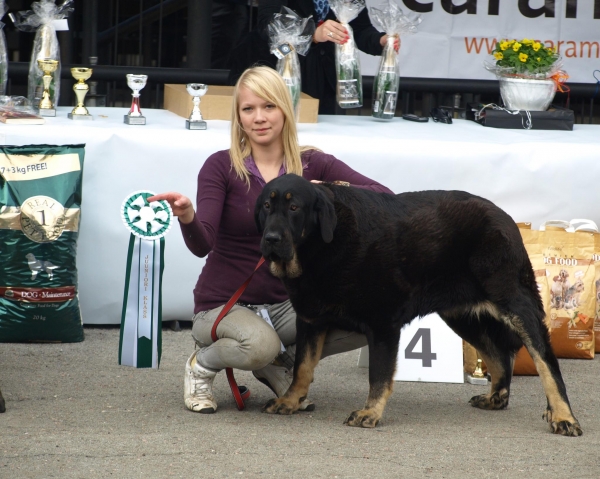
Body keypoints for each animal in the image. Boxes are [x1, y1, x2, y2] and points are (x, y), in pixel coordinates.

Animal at [254, 174, 580, 436]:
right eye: (267, 206)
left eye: (294, 208)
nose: (270, 238)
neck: (324, 246)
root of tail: (507, 218)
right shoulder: (311, 320)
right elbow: (303, 366)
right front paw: (291, 400)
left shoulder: (382, 324)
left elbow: (379, 375)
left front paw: (370, 412)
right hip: (462, 315)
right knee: (499, 354)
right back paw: (496, 398)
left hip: (516, 303)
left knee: (545, 361)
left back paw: (563, 416)